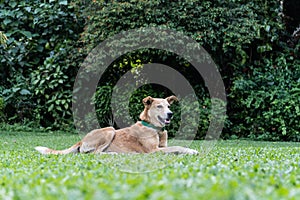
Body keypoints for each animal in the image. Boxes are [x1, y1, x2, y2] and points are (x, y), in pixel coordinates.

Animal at [35, 96, 198, 155]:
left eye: (168, 106)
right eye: (159, 106)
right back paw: (112, 154)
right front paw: (191, 151)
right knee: (94, 153)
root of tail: (81, 140)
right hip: (110, 130)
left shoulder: (162, 147)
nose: (170, 114)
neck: (154, 128)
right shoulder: (153, 151)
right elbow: (178, 147)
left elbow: (174, 147)